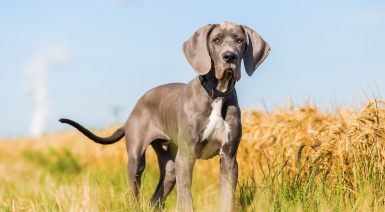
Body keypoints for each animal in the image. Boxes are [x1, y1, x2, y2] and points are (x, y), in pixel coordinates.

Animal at [60, 22, 270, 212]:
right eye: (216, 40)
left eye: (239, 40)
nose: (230, 56)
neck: (216, 94)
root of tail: (132, 111)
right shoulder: (186, 157)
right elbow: (186, 199)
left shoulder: (229, 160)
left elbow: (227, 198)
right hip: (137, 160)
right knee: (135, 193)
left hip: (170, 168)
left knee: (155, 199)